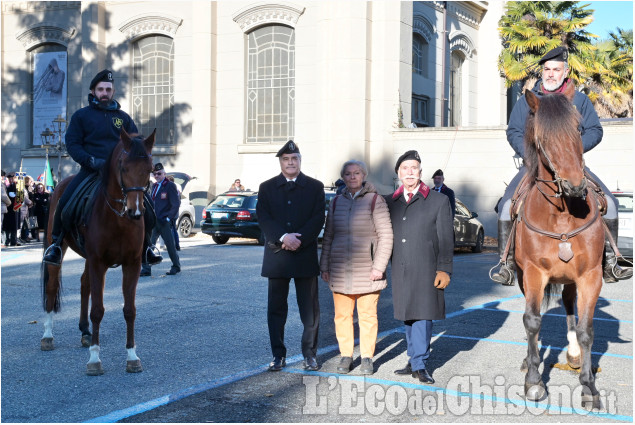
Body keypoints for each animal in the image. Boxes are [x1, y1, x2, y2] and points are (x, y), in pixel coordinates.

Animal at [41, 129, 155, 374]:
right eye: (123, 167)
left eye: (150, 169)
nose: (135, 211)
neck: (119, 219)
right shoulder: (98, 262)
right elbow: (98, 310)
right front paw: (94, 359)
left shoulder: (132, 264)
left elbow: (129, 310)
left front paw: (132, 356)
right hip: (59, 249)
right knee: (52, 286)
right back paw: (47, 335)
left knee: (84, 285)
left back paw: (85, 332)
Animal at [516, 83, 608, 410]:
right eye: (543, 138)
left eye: (578, 131)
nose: (575, 186)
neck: (562, 216)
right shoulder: (533, 273)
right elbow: (532, 321)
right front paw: (533, 381)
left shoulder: (590, 276)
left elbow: (586, 329)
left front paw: (589, 386)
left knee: (569, 306)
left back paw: (574, 354)